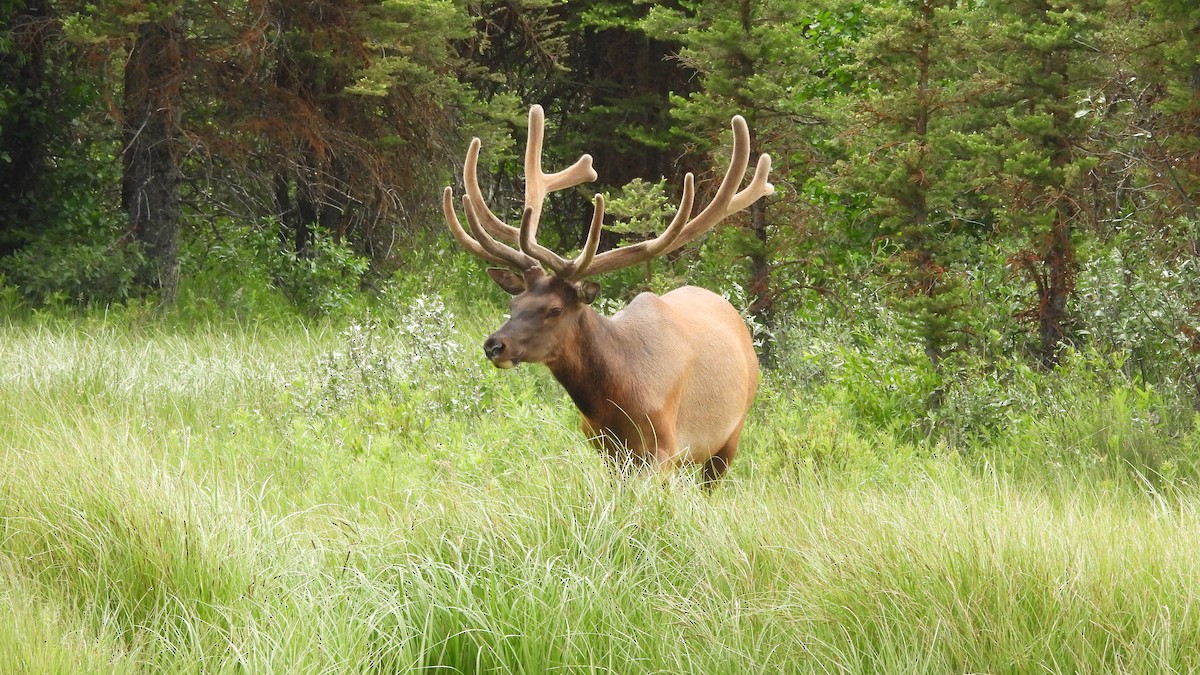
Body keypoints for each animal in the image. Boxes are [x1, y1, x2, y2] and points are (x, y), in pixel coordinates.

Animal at [442, 105, 773, 484]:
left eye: (555, 309)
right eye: (514, 302)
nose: (494, 345)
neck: (619, 399)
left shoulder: (664, 447)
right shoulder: (606, 449)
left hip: (730, 434)